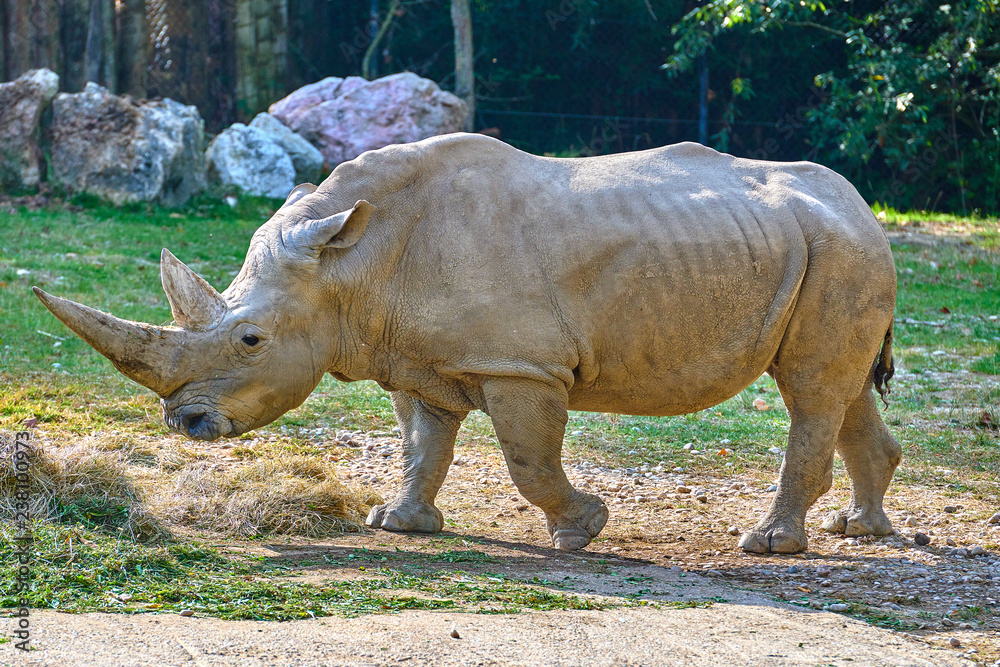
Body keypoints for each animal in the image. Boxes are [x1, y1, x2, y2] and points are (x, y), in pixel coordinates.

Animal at [34, 133, 901, 554]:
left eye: (250, 338)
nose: (185, 424)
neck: (348, 263)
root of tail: (863, 204)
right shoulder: (417, 359)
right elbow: (424, 445)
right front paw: (397, 523)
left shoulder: (521, 365)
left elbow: (526, 461)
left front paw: (582, 530)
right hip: (830, 247)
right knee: (843, 386)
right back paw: (857, 530)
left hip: (839, 250)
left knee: (810, 389)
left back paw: (768, 545)